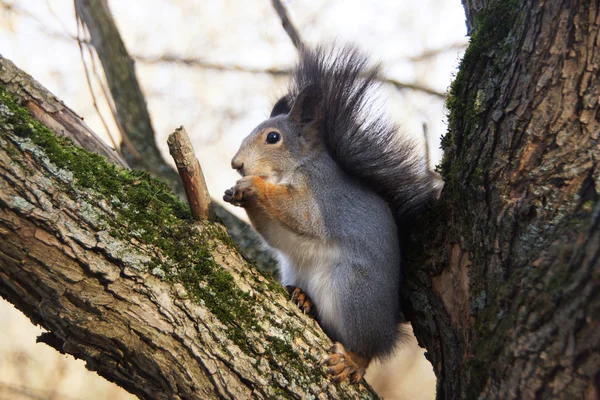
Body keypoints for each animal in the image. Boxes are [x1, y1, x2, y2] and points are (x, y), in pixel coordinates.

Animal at [224, 44, 436, 384]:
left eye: (273, 137)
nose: (237, 164)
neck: (299, 165)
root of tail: (389, 328)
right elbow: (274, 234)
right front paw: (237, 193)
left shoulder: (322, 198)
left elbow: (301, 214)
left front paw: (252, 186)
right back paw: (303, 298)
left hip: (352, 293)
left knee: (365, 350)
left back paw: (352, 361)